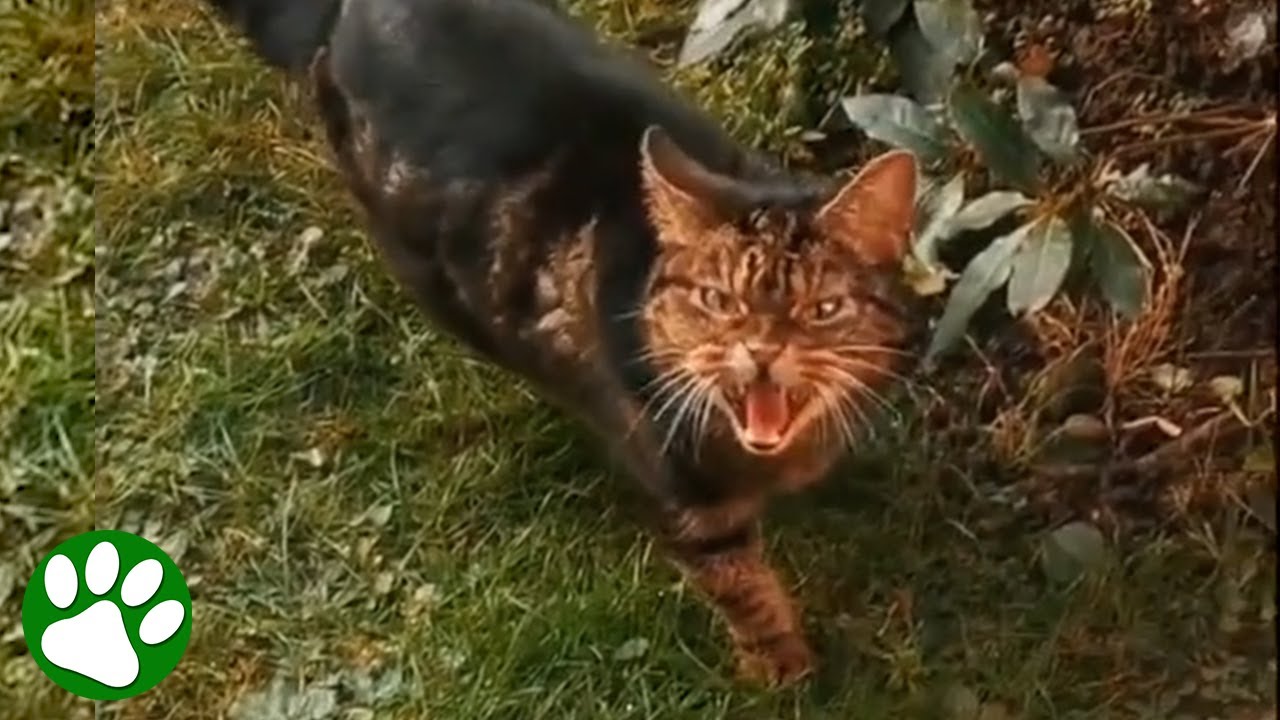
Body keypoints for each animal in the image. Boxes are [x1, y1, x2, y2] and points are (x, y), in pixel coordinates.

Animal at [204, 0, 916, 681]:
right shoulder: (689, 504)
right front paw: (784, 670)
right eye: (718, 301)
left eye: (822, 309)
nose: (762, 353)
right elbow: (743, 590)